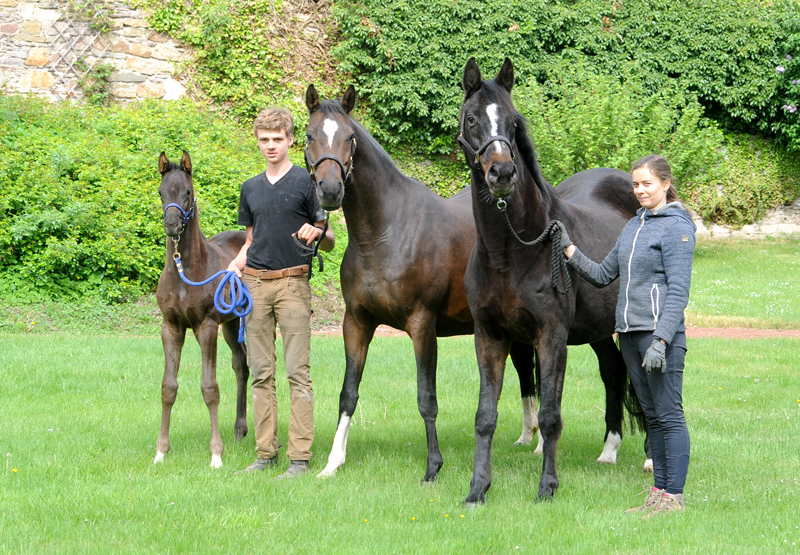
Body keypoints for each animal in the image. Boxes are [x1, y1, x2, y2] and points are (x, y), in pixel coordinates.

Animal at [152, 152, 247, 470]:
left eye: (187, 192)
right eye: (161, 192)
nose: (172, 224)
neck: (185, 272)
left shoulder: (206, 326)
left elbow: (210, 388)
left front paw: (216, 454)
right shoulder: (171, 327)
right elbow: (168, 387)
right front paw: (161, 451)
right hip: (231, 325)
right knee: (242, 366)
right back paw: (240, 429)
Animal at [306, 84, 644, 484]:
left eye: (350, 138)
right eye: (309, 136)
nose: (329, 190)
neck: (386, 233)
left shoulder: (422, 325)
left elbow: (426, 398)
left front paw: (433, 466)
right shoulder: (357, 323)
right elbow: (348, 393)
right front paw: (332, 463)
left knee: (613, 371)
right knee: (587, 370)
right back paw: (565, 444)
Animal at [456, 58, 644, 506]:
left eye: (512, 122)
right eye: (472, 119)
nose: (502, 172)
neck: (511, 252)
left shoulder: (552, 335)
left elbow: (551, 414)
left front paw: (547, 486)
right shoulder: (490, 335)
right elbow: (485, 415)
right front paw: (477, 489)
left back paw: (649, 458)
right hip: (599, 330)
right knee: (613, 370)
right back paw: (609, 450)